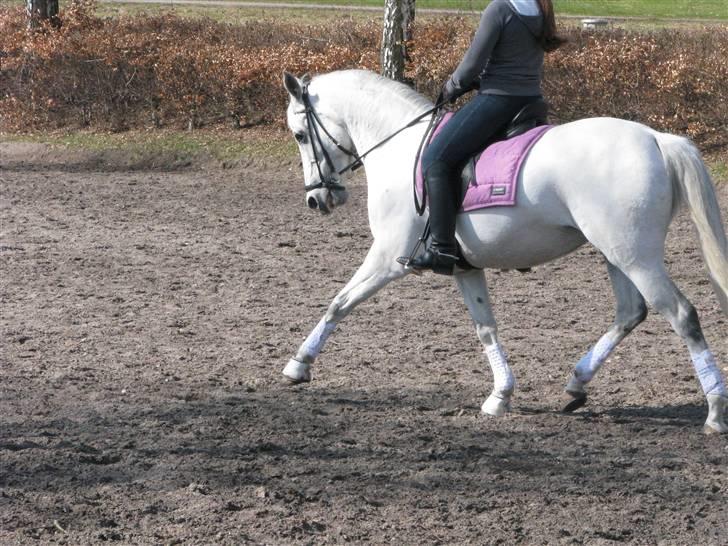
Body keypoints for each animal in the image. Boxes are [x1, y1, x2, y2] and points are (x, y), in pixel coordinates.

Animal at [280, 69, 728, 434]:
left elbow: (339, 303)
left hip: (635, 256)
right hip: (617, 253)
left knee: (681, 314)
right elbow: (486, 327)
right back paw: (576, 383)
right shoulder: (463, 267)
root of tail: (655, 138)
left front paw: (298, 365)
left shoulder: (388, 258)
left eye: (301, 135)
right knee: (630, 313)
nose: (317, 200)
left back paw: (714, 411)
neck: (400, 148)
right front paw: (500, 395)